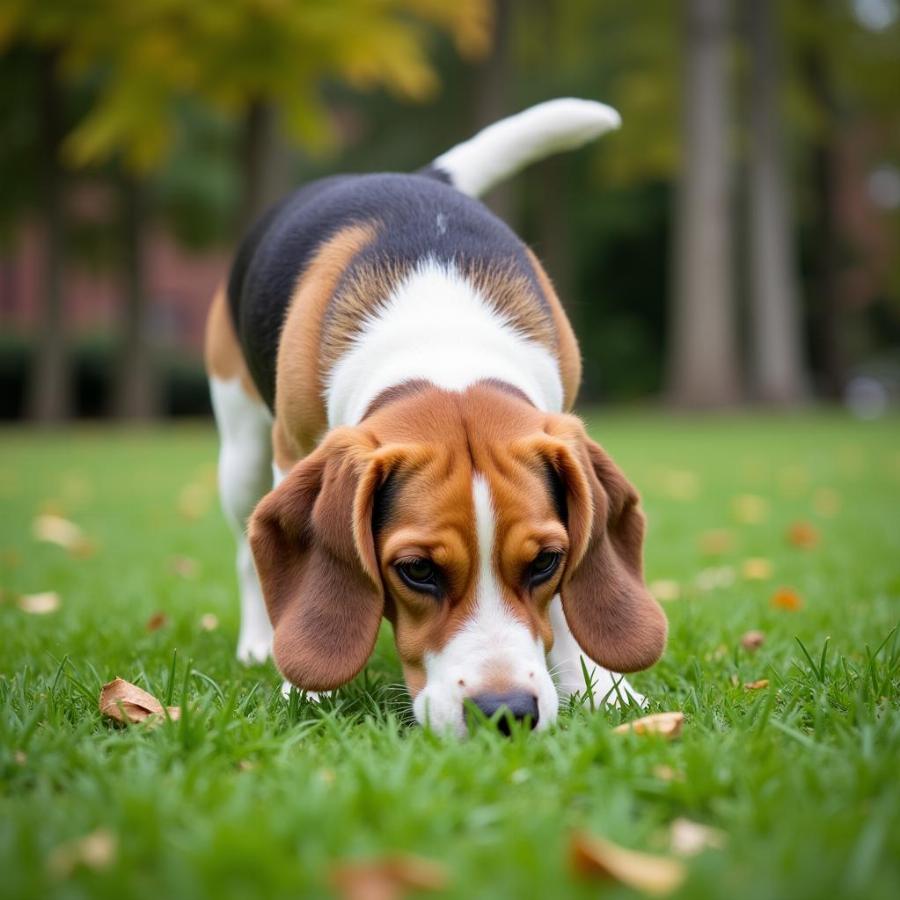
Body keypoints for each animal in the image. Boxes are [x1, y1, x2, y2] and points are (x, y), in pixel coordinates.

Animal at [206, 100, 668, 740]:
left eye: (546, 561)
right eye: (418, 570)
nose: (507, 714)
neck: (444, 341)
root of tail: (418, 180)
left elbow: (569, 604)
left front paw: (600, 687)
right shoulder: (292, 449)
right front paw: (307, 689)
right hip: (244, 451)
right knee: (247, 554)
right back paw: (257, 644)